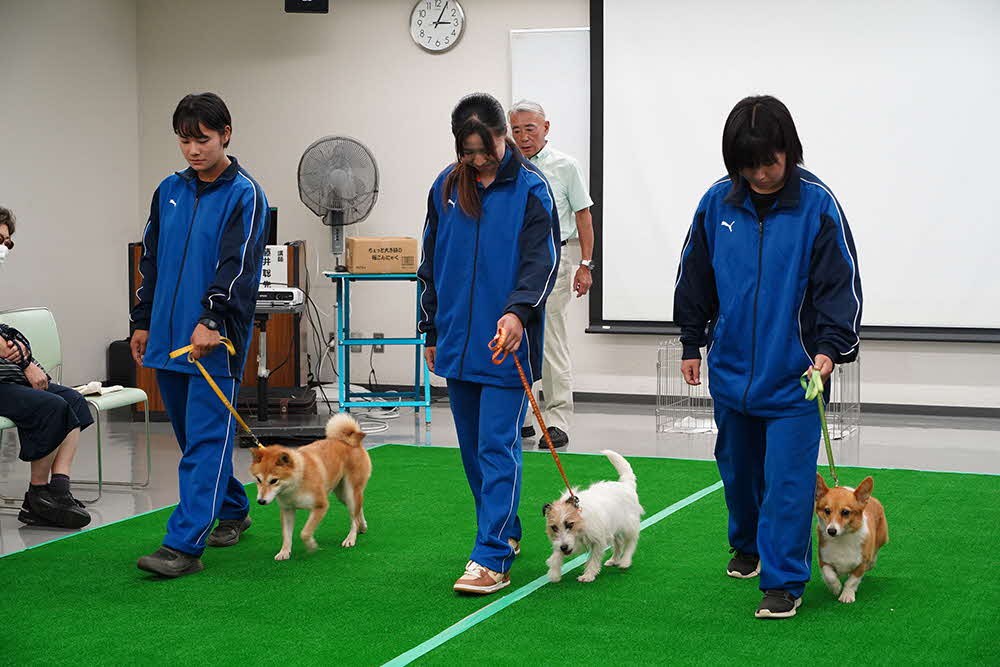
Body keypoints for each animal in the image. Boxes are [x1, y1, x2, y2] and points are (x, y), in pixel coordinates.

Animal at [252, 414, 374, 560]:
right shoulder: (287, 510)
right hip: (343, 494)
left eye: (274, 481)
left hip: (350, 492)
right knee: (357, 510)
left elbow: (305, 532)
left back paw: (351, 537)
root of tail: (350, 441)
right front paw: (284, 552)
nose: (261, 501)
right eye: (258, 479)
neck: (297, 482)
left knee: (353, 517)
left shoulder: (321, 505)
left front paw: (311, 545)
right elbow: (286, 535)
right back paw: (362, 526)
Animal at [544, 448, 644, 584]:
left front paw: (588, 575)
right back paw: (614, 559)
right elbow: (556, 555)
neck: (581, 519)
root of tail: (626, 484)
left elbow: (594, 559)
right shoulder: (560, 542)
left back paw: (625, 561)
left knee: (630, 542)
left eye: (570, 524)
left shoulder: (598, 540)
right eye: (554, 527)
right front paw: (554, 573)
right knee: (619, 543)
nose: (564, 548)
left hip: (629, 525)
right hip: (614, 528)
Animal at [812, 474, 892, 604]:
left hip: (882, 538)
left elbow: (852, 581)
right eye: (827, 510)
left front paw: (847, 595)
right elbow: (829, 575)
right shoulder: (823, 560)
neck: (842, 539)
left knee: (874, 554)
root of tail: (871, 499)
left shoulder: (861, 564)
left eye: (845, 512)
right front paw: (836, 588)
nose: (831, 531)